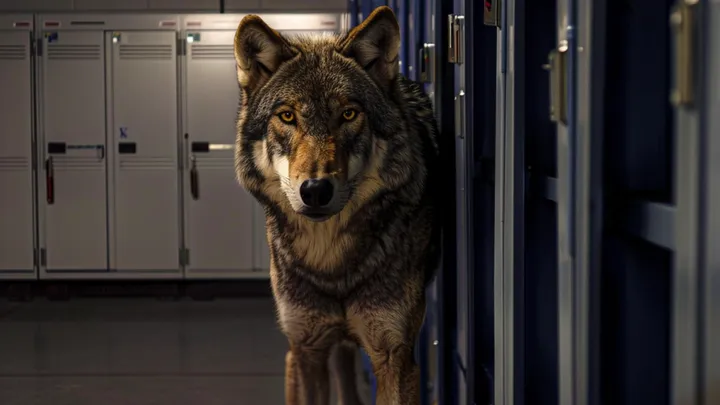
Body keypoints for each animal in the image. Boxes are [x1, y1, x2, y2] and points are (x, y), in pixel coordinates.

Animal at [233, 6, 441, 404]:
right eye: (287, 116)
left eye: (348, 114)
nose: (315, 190)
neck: (330, 263)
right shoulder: (309, 346)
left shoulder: (395, 355)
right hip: (299, 345)